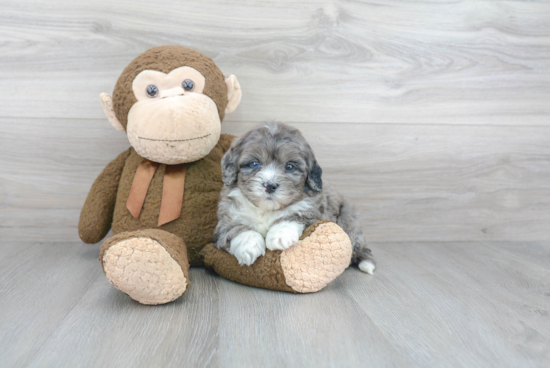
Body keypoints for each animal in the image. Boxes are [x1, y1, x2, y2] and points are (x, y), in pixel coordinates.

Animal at [213, 122, 378, 274]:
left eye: (290, 167)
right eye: (254, 164)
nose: (270, 185)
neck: (266, 209)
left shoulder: (313, 212)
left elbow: (293, 215)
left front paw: (279, 235)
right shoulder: (225, 219)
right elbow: (236, 227)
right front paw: (249, 246)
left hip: (348, 218)